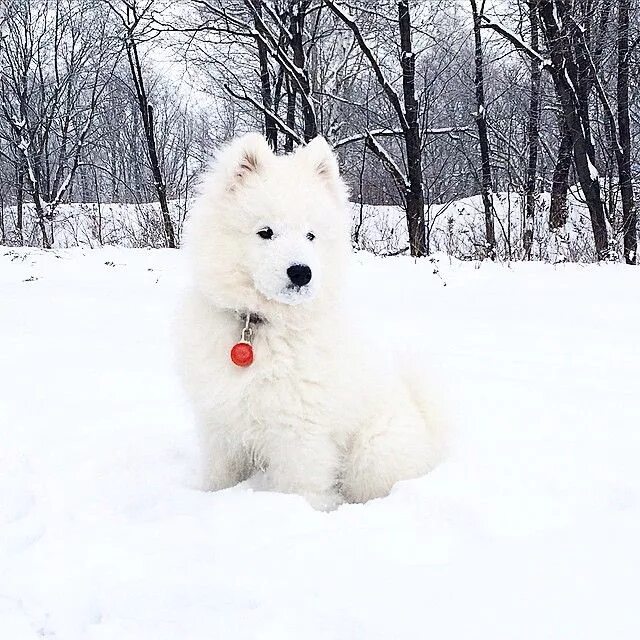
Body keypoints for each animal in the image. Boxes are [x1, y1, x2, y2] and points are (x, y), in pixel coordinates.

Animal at [175, 135, 444, 510]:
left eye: (311, 236)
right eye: (265, 232)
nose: (301, 272)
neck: (261, 325)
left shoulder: (299, 431)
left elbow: (300, 485)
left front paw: (301, 509)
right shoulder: (220, 424)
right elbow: (220, 476)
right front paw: (210, 498)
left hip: (371, 454)